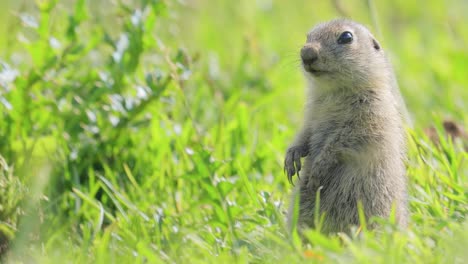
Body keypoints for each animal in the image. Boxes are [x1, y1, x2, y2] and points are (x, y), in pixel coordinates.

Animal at [284, 19, 408, 233]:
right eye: (308, 36)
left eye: (346, 37)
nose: (306, 53)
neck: (334, 92)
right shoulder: (312, 114)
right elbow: (305, 133)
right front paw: (291, 157)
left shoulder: (371, 113)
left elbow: (346, 139)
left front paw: (319, 167)